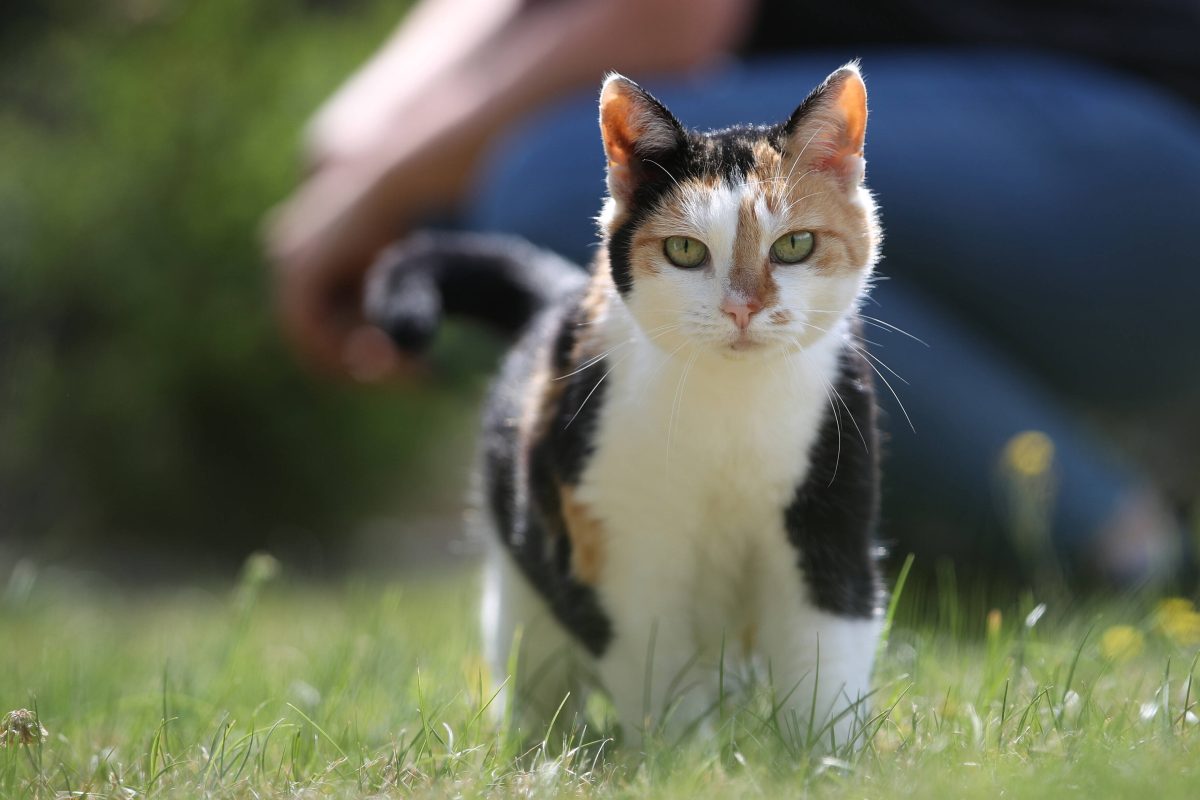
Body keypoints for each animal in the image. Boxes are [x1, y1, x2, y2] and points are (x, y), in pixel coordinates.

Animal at [369, 64, 888, 753]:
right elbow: (657, 670)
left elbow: (825, 658)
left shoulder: (831, 518)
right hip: (521, 596)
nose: (743, 308)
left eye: (796, 244)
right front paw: (686, 761)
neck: (728, 408)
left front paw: (823, 758)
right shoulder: (617, 556)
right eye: (685, 252)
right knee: (537, 675)